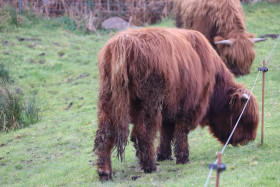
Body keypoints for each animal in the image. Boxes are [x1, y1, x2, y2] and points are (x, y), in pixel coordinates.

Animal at [94, 27, 260, 180]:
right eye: (242, 117)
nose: (248, 140)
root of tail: (123, 42)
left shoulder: (169, 109)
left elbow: (166, 132)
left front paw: (164, 155)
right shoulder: (188, 108)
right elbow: (181, 132)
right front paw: (183, 158)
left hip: (107, 102)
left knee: (104, 136)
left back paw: (104, 172)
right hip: (150, 104)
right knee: (142, 134)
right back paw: (150, 167)